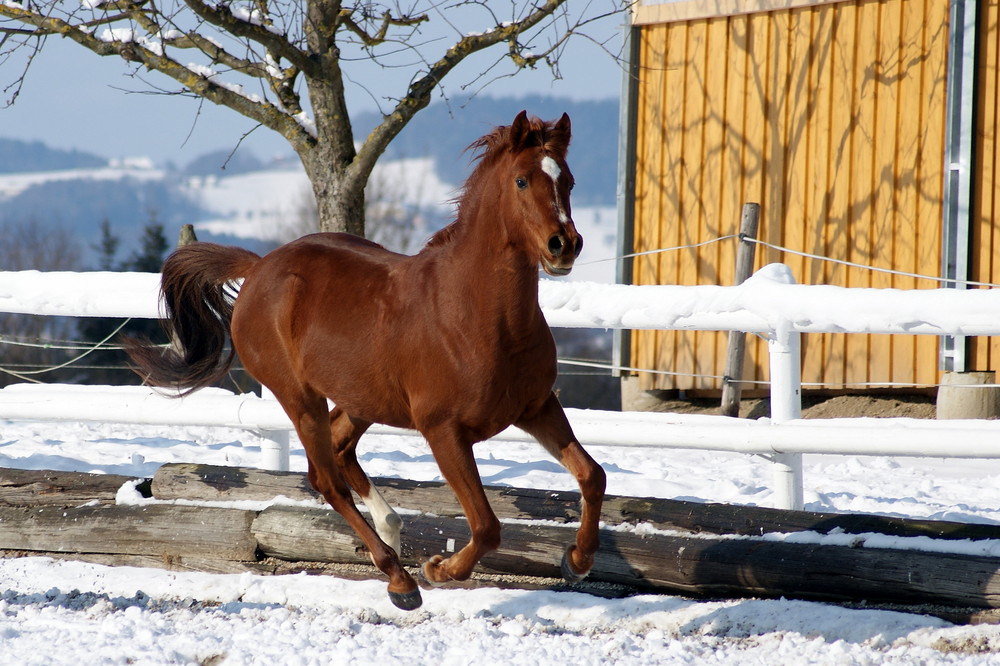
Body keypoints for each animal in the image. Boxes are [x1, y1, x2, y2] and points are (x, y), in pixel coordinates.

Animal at [129, 111, 604, 608]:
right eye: (521, 181)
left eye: (567, 180)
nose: (564, 244)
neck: (478, 318)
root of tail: (258, 268)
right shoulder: (443, 430)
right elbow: (487, 526)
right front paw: (438, 569)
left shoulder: (536, 407)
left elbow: (592, 475)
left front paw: (577, 560)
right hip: (299, 396)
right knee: (326, 479)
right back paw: (400, 579)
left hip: (362, 398)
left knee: (341, 448)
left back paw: (390, 528)